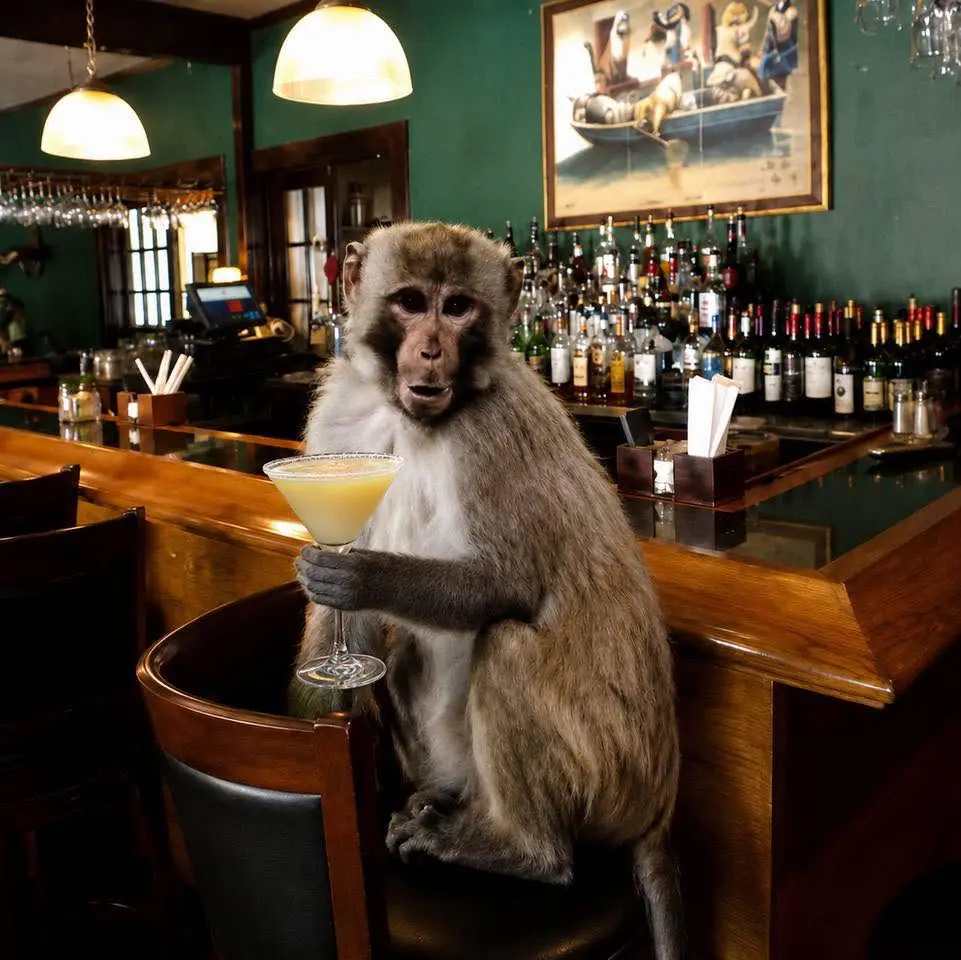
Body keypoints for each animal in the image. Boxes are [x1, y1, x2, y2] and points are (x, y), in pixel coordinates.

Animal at [291, 222, 683, 960]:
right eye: (410, 302)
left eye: (457, 308)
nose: (430, 349)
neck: (407, 418)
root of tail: (658, 806)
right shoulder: (339, 431)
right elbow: (350, 633)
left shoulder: (492, 431)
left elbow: (508, 584)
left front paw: (361, 576)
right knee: (408, 658)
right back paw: (447, 803)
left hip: (608, 774)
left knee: (506, 646)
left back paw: (522, 851)